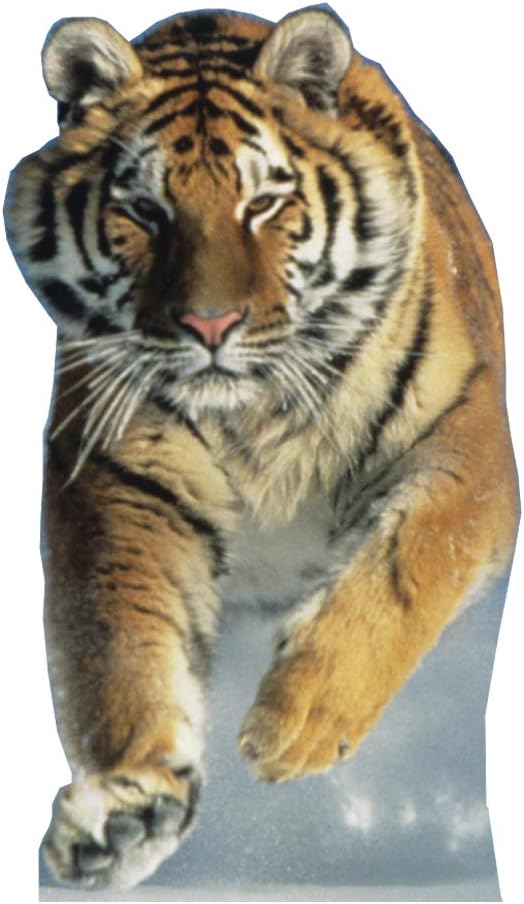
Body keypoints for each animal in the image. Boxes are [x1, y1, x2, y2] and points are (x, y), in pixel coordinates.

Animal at [4, 3, 519, 892]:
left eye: (265, 204)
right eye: (145, 211)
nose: (210, 326)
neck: (256, 417)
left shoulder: (466, 441)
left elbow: (410, 562)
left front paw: (299, 721)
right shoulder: (120, 480)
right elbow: (118, 647)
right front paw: (126, 810)